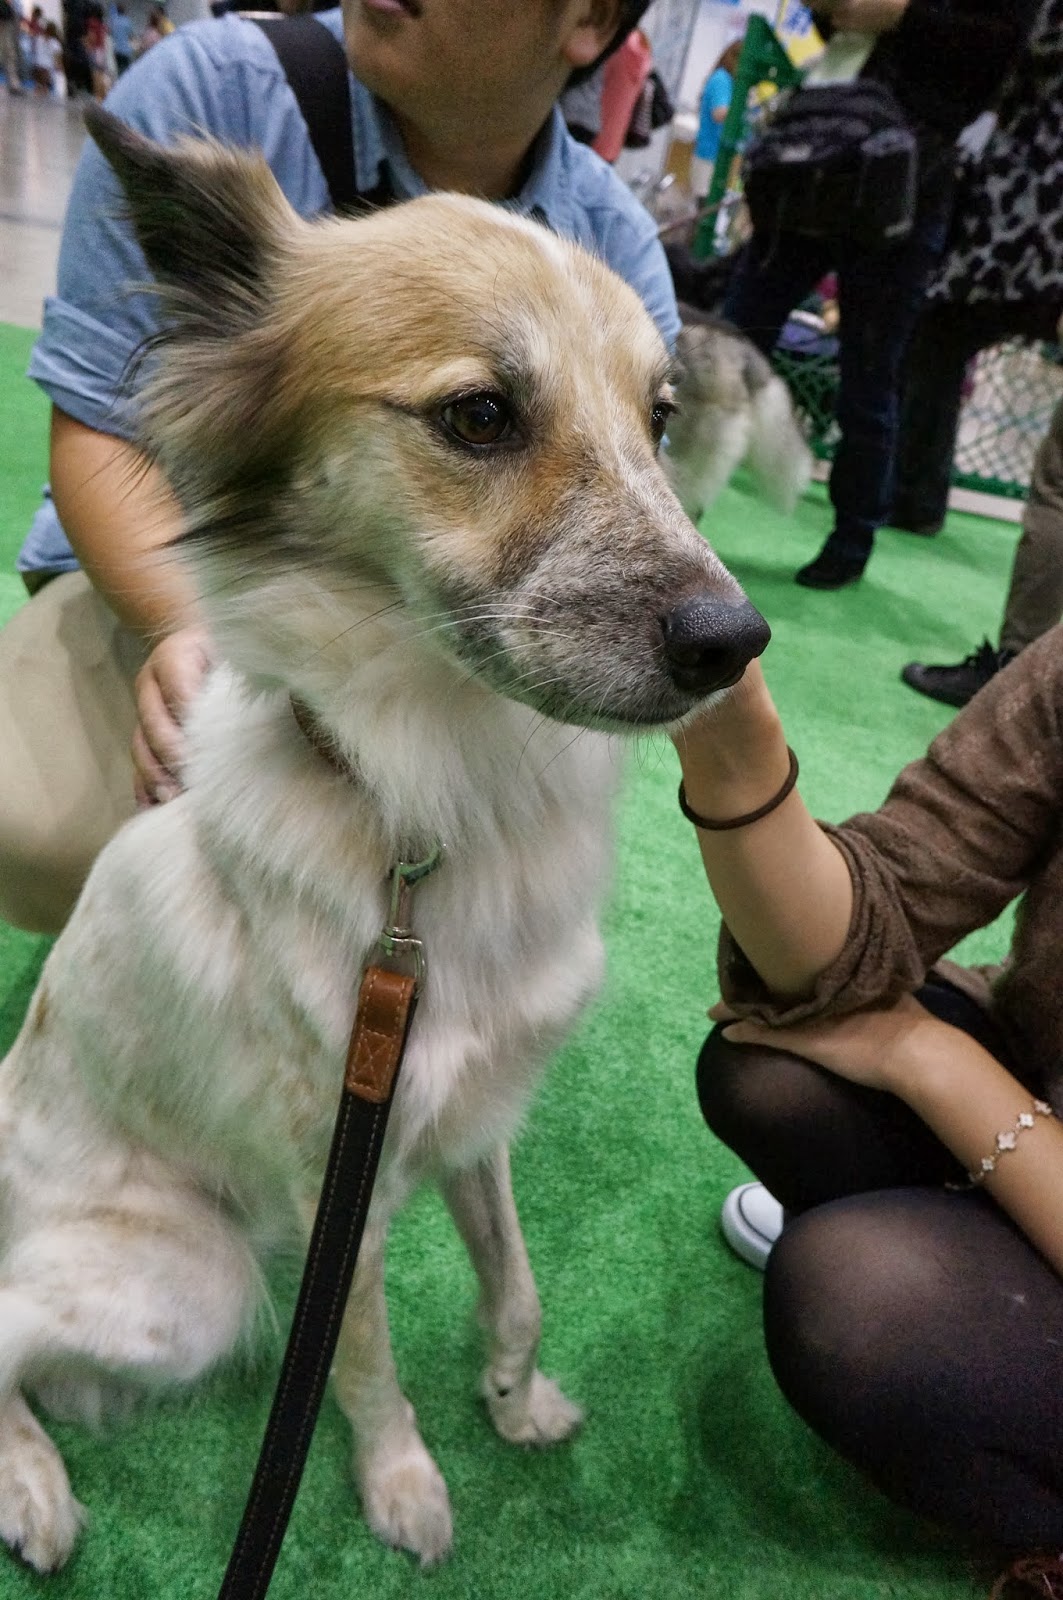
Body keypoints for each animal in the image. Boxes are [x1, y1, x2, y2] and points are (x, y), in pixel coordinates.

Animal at [0, 107, 769, 1574]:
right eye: (479, 415)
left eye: (658, 419)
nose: (733, 641)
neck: (440, 806)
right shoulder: (329, 1188)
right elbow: (358, 1361)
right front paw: (402, 1482)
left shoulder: (469, 1120)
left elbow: (516, 1286)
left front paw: (516, 1399)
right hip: (191, 1280)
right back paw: (32, 1484)